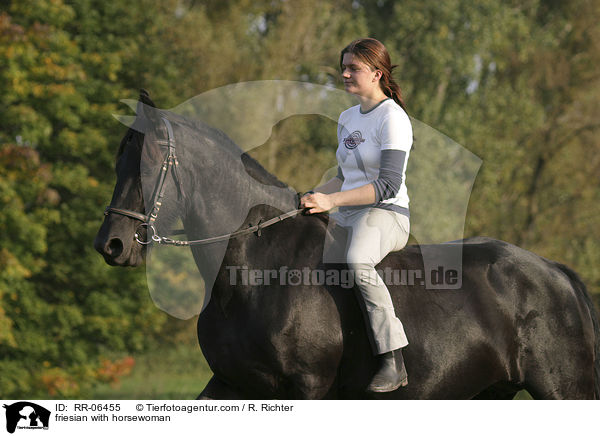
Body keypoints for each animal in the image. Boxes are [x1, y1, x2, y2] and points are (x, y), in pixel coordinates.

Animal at [92, 89, 596, 398]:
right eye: (118, 161)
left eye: (149, 162)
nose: (110, 245)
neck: (252, 271)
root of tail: (555, 272)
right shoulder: (229, 382)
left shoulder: (307, 385)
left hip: (563, 388)